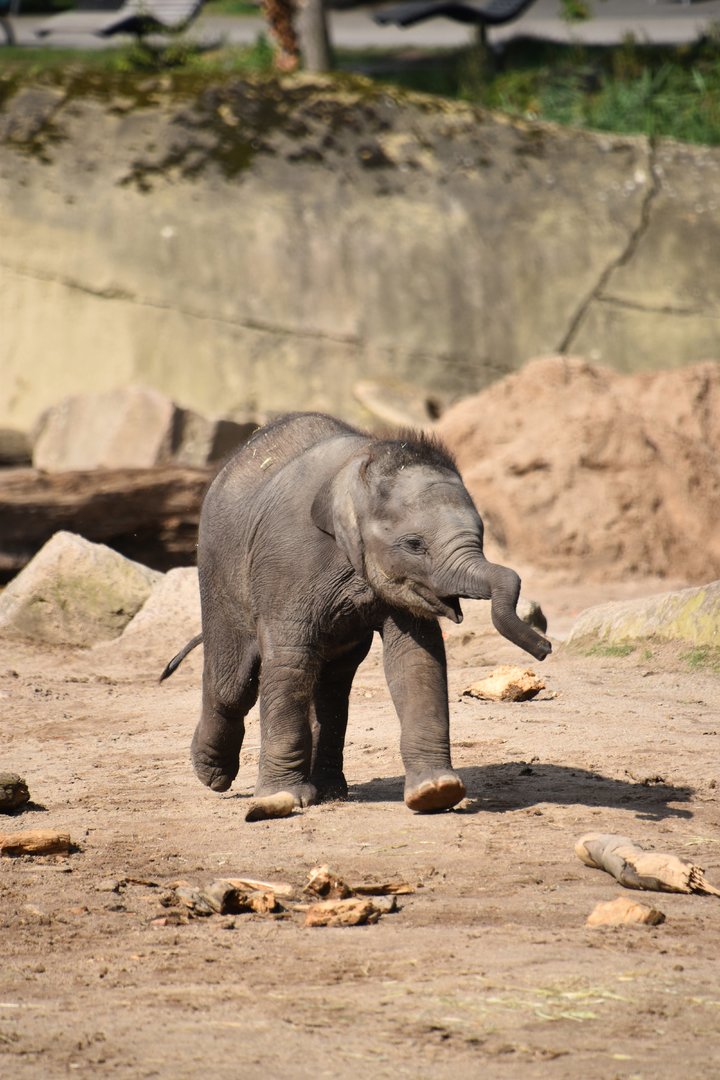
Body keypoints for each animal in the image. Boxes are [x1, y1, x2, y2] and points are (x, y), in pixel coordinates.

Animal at [162, 412, 551, 814]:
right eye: (414, 544)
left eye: (482, 534)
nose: (545, 648)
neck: (355, 473)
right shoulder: (287, 561)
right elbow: (290, 660)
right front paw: (281, 798)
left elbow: (416, 659)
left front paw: (436, 792)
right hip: (218, 571)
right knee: (234, 684)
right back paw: (213, 775)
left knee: (332, 684)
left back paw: (329, 792)